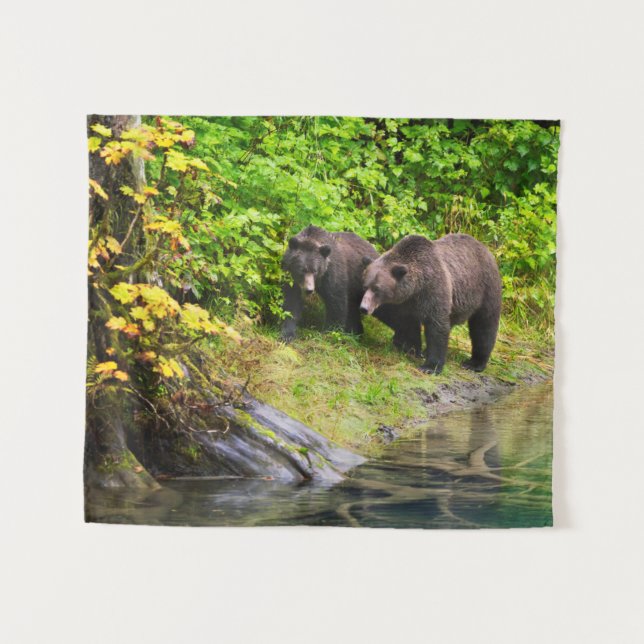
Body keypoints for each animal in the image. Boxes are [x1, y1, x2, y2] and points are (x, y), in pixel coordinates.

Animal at [281, 225, 419, 348]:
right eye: (302, 269)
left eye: (315, 270)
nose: (309, 289)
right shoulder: (290, 277)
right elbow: (291, 302)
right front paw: (287, 334)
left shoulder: (334, 273)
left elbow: (336, 303)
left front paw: (329, 332)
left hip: (378, 290)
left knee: (394, 312)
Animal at [360, 233, 502, 374]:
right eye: (365, 286)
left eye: (377, 288)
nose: (364, 308)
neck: (416, 287)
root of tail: (484, 248)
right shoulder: (404, 303)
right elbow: (406, 323)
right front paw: (410, 347)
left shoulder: (433, 290)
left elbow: (436, 327)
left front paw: (430, 366)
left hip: (485, 288)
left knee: (484, 325)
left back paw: (474, 363)